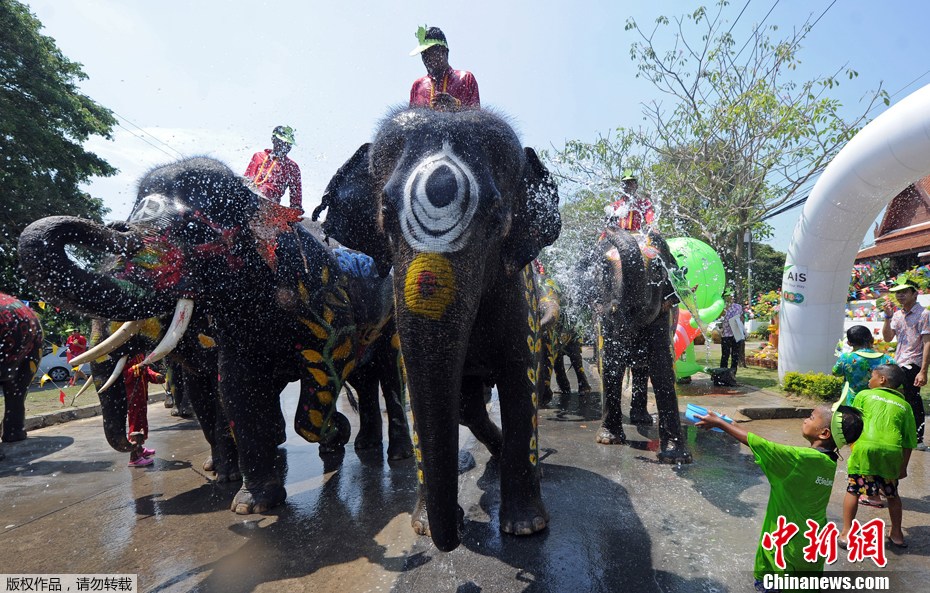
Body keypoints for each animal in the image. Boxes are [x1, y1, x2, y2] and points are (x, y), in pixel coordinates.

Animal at [17, 157, 410, 512]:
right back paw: (364, 446)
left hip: (389, 320)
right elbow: (232, 387)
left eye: (194, 229)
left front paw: (333, 433)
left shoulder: (326, 305)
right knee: (364, 378)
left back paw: (395, 455)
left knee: (388, 372)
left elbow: (325, 372)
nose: (116, 225)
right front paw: (250, 500)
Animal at [312, 106, 560, 552]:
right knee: (467, 407)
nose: (456, 537)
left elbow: (521, 383)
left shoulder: (519, 297)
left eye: (496, 218)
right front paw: (424, 528)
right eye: (385, 215)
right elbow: (414, 385)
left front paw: (526, 528)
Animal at [580, 227, 688, 462]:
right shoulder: (603, 319)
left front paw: (676, 458)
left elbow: (662, 367)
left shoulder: (664, 316)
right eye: (604, 271)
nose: (612, 228)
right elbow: (611, 363)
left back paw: (642, 420)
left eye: (657, 270)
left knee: (642, 369)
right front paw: (608, 440)